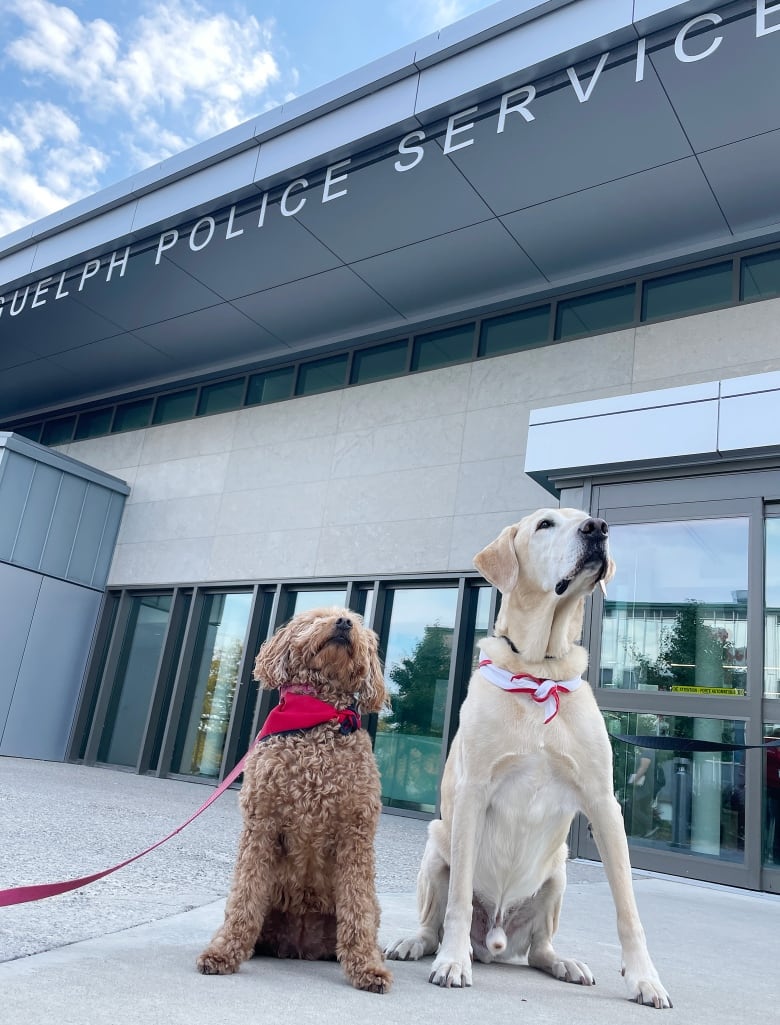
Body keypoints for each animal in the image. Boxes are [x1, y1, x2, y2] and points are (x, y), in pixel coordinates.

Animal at [194, 606, 389, 992]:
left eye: (359, 624)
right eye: (316, 617)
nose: (343, 622)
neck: (319, 715)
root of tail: (302, 945)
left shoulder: (356, 832)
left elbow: (357, 909)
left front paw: (367, 968)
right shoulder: (261, 824)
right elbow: (244, 897)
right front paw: (223, 953)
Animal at [387, 508, 672, 1004]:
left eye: (589, 521)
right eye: (544, 525)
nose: (598, 529)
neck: (540, 672)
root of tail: (495, 940)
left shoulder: (604, 802)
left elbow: (628, 908)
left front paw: (644, 978)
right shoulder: (473, 793)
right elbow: (458, 900)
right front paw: (452, 961)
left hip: (556, 875)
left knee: (539, 948)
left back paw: (564, 963)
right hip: (436, 843)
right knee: (434, 919)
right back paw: (419, 943)